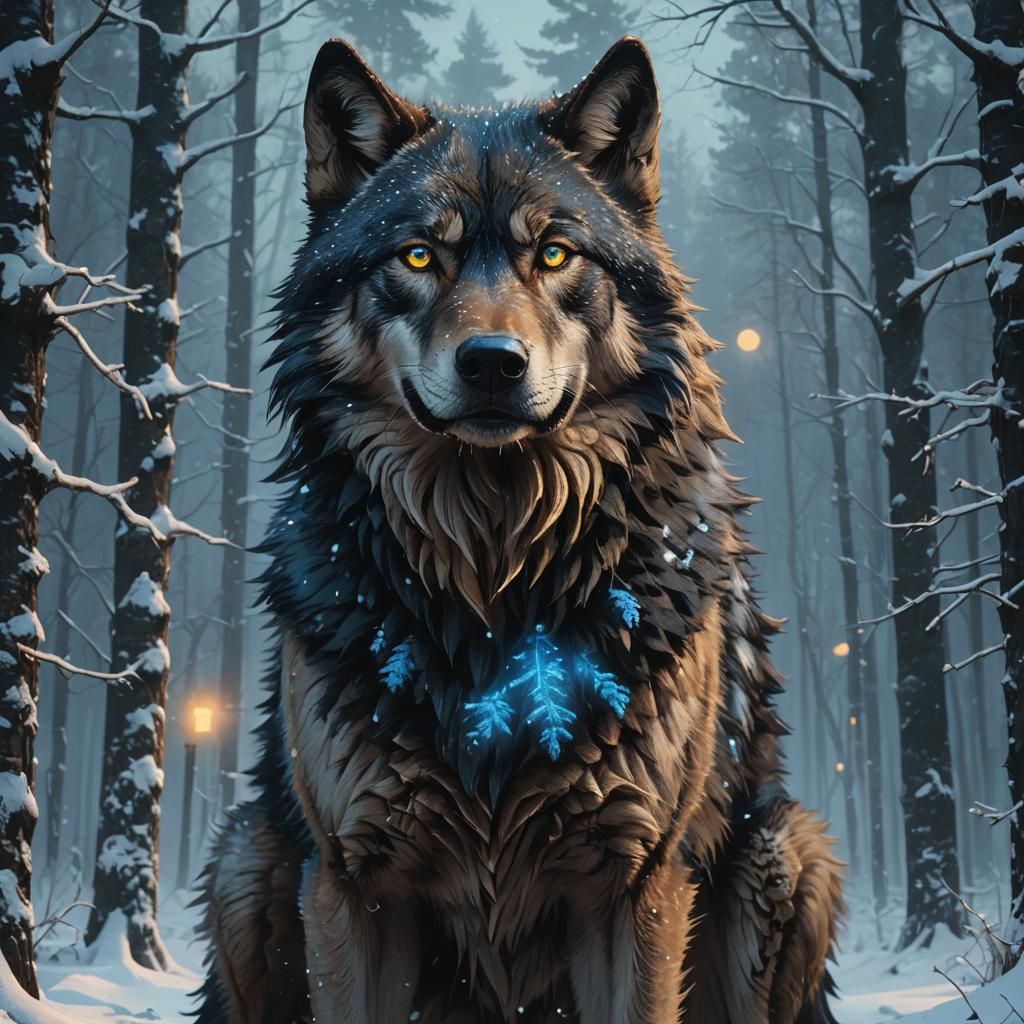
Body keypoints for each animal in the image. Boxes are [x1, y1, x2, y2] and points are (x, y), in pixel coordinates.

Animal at [195, 35, 843, 1024]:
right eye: (419, 255)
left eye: (555, 253)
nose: (493, 364)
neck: (495, 578)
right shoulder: (352, 886)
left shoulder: (636, 885)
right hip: (242, 860)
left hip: (788, 850)